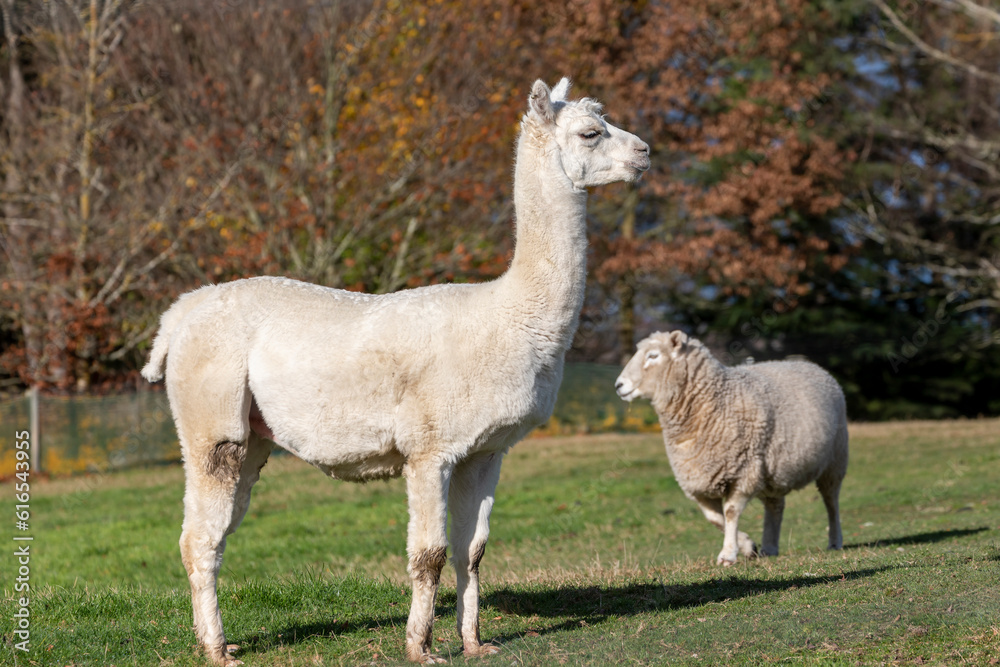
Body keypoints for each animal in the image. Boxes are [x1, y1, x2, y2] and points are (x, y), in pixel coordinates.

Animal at [145, 79, 652, 667]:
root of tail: (181, 312)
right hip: (211, 418)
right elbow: (429, 554)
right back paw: (216, 649)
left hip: (251, 435)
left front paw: (475, 642)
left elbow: (473, 551)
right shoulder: (430, 448)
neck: (509, 316)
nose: (644, 152)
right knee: (198, 537)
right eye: (591, 132)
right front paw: (421, 647)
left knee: (215, 530)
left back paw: (219, 639)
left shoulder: (485, 450)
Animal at [612, 332, 848, 568]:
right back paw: (769, 547)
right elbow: (715, 519)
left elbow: (730, 513)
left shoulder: (744, 473)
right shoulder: (698, 481)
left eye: (653, 355)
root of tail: (811, 365)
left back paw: (835, 540)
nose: (618, 385)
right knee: (775, 506)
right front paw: (748, 546)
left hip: (834, 460)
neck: (716, 397)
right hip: (771, 472)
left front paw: (728, 554)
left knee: (831, 501)